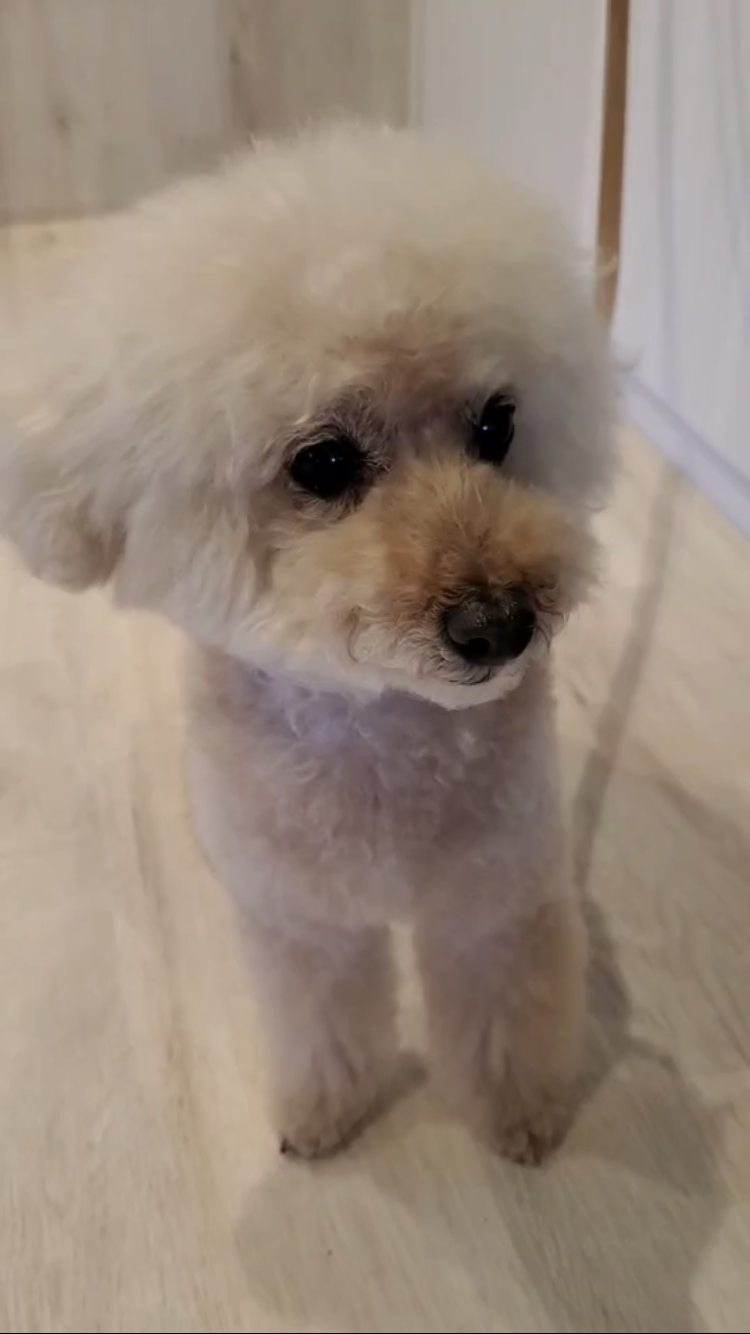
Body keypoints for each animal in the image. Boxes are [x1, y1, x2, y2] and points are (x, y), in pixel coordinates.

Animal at [0, 122, 616, 1163]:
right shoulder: (302, 924)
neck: (377, 734)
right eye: (322, 463)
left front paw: (519, 1116)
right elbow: (320, 1023)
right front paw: (324, 1111)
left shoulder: (494, 907)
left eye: (498, 425)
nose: (500, 623)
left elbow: (505, 1023)